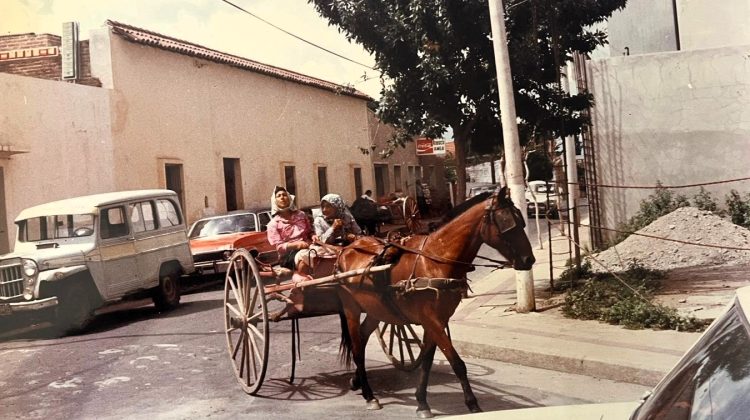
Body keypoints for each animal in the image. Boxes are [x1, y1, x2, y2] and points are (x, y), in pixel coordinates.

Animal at [334, 187, 536, 416]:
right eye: (507, 223)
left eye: (521, 221)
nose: (529, 260)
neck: (434, 261)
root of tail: (347, 248)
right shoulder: (432, 321)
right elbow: (457, 363)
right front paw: (472, 404)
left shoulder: (437, 321)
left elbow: (427, 362)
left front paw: (422, 402)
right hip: (351, 308)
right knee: (357, 348)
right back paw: (369, 395)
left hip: (377, 310)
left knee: (362, 337)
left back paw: (357, 381)